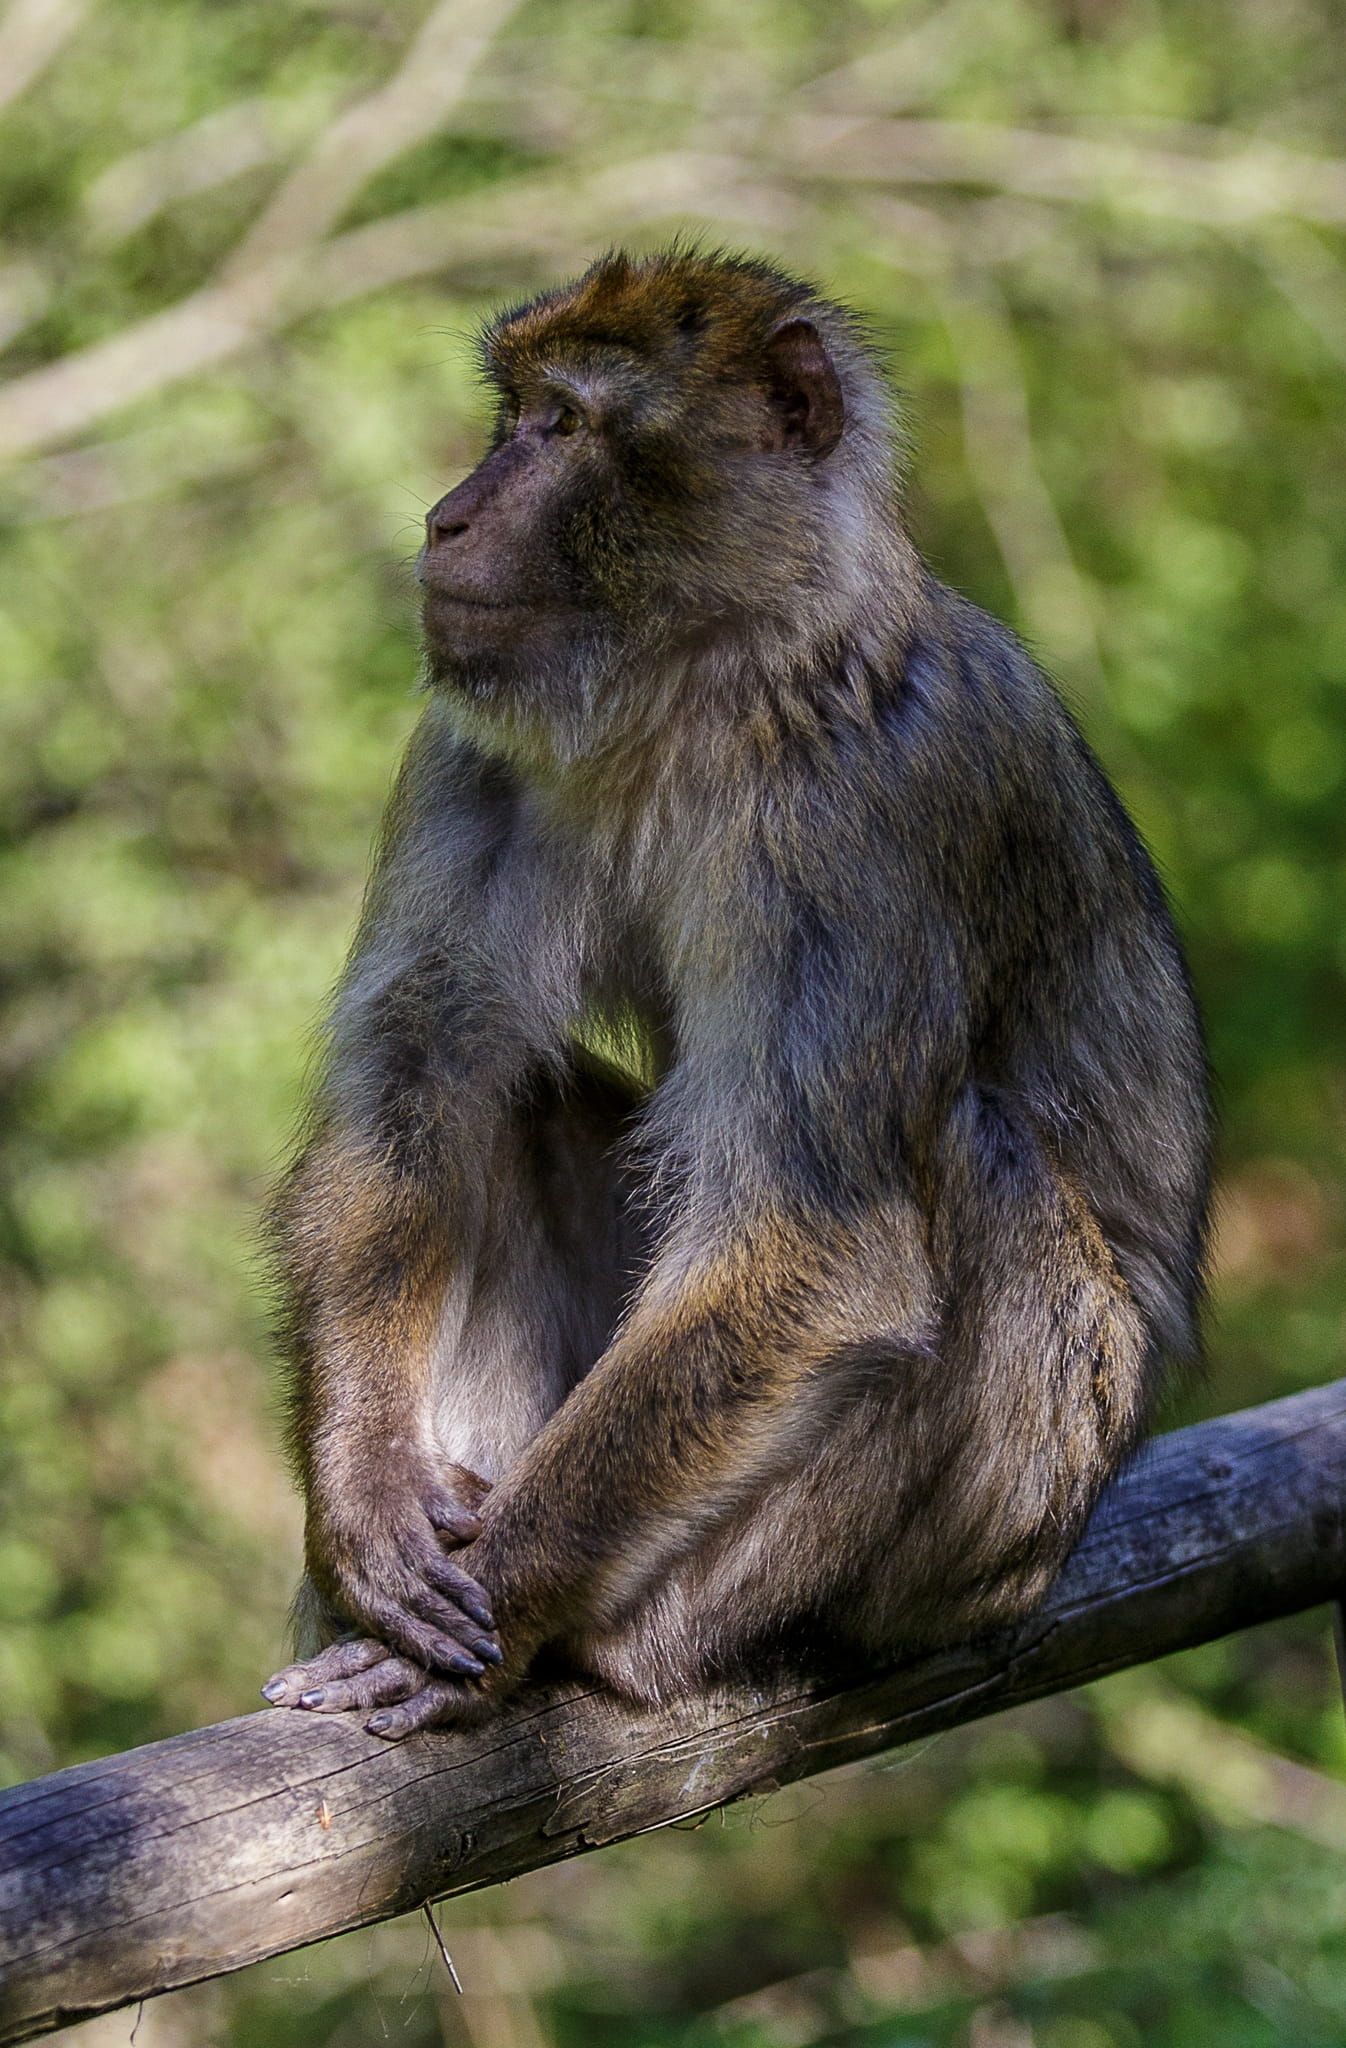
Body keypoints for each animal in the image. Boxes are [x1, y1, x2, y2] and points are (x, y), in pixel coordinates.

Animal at [260, 247, 1211, 1742]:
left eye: (565, 426)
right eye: (513, 413)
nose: (448, 514)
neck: (703, 684)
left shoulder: (865, 809)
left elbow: (810, 1239)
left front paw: (507, 1590)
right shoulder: (474, 740)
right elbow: (420, 1070)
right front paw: (360, 1498)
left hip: (993, 1515)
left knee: (965, 1158)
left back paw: (612, 1644)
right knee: (508, 1094)